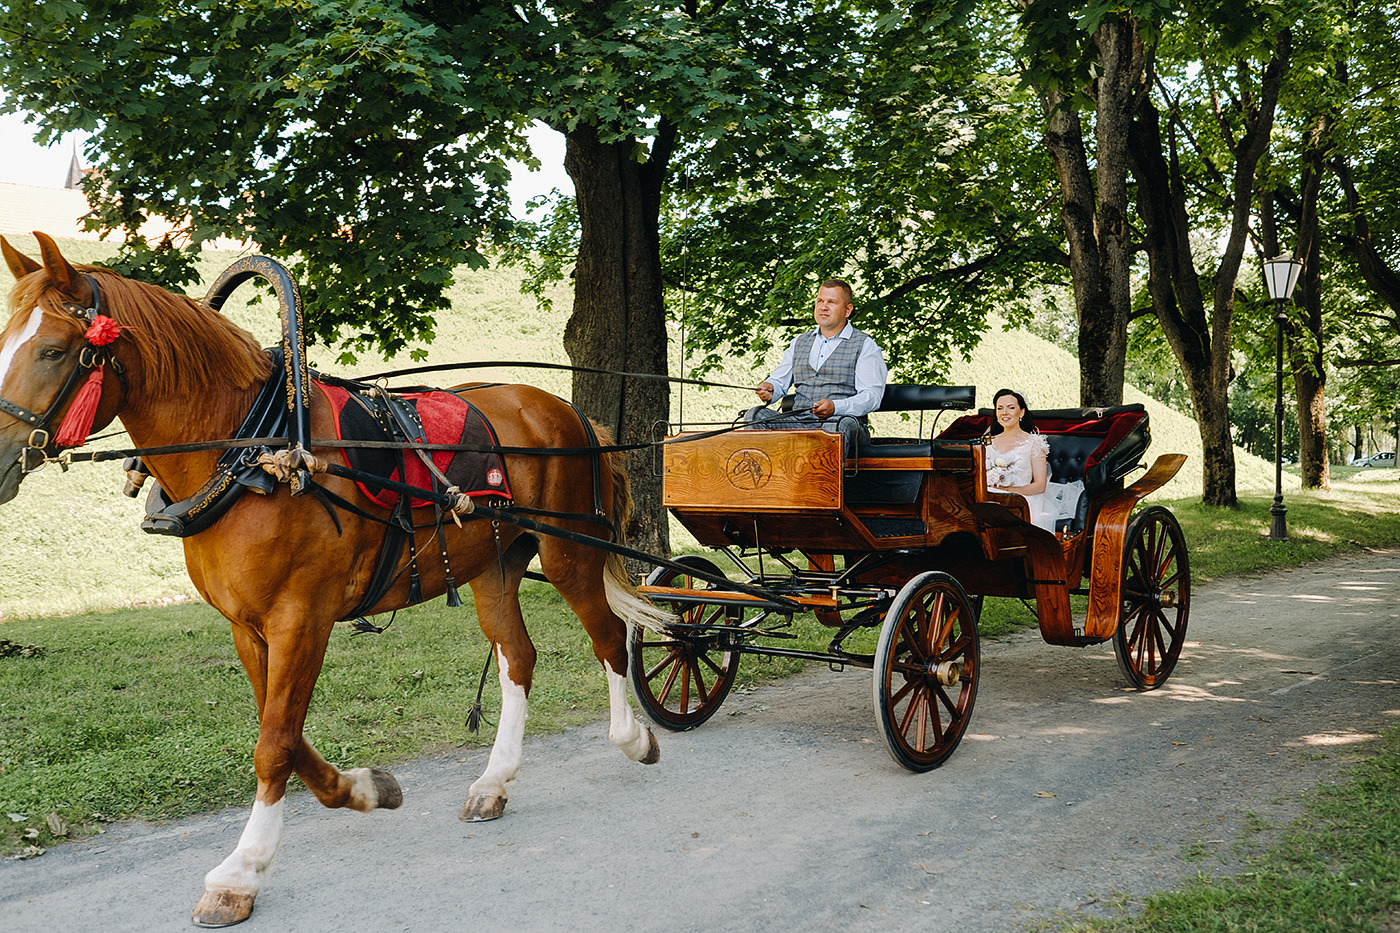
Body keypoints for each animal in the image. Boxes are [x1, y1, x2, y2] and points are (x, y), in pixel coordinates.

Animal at [0, 232, 666, 924]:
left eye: (54, 350)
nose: (2, 456)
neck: (255, 449)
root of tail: (569, 413)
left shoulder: (302, 617)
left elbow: (275, 742)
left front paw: (241, 872)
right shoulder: (249, 626)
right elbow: (283, 731)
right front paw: (364, 789)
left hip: (568, 553)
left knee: (608, 639)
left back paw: (631, 737)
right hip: (494, 564)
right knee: (517, 656)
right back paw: (494, 781)